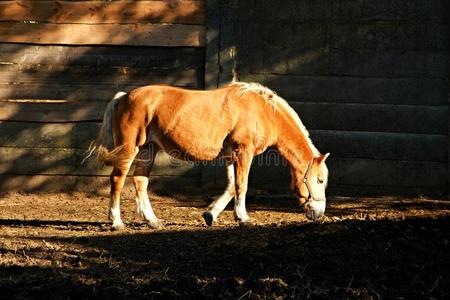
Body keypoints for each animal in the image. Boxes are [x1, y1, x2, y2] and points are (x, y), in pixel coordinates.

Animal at [86, 82, 330, 230]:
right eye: (319, 180)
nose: (319, 213)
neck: (263, 111)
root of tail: (124, 97)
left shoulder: (231, 156)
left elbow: (231, 187)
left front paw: (210, 214)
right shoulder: (244, 152)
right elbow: (241, 186)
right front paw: (243, 218)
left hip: (148, 149)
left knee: (140, 182)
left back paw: (152, 221)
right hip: (129, 149)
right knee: (117, 180)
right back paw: (116, 222)